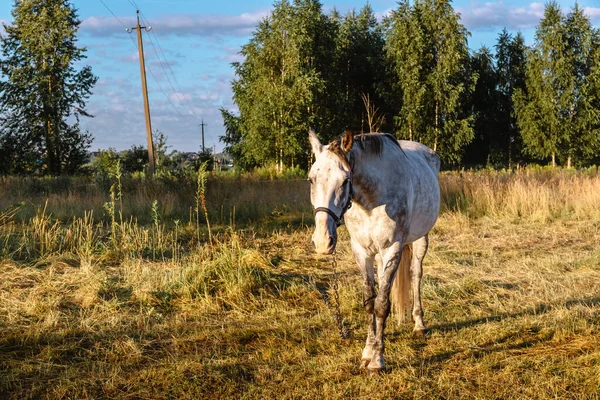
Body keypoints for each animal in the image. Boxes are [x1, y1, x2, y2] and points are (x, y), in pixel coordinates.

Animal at [310, 129, 440, 376]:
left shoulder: (392, 249)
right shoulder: (361, 251)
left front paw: (378, 360)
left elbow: (381, 305)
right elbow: (370, 302)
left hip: (420, 239)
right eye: (311, 179)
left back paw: (419, 324)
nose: (323, 241)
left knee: (416, 275)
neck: (370, 201)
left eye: (346, 180)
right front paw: (367, 352)